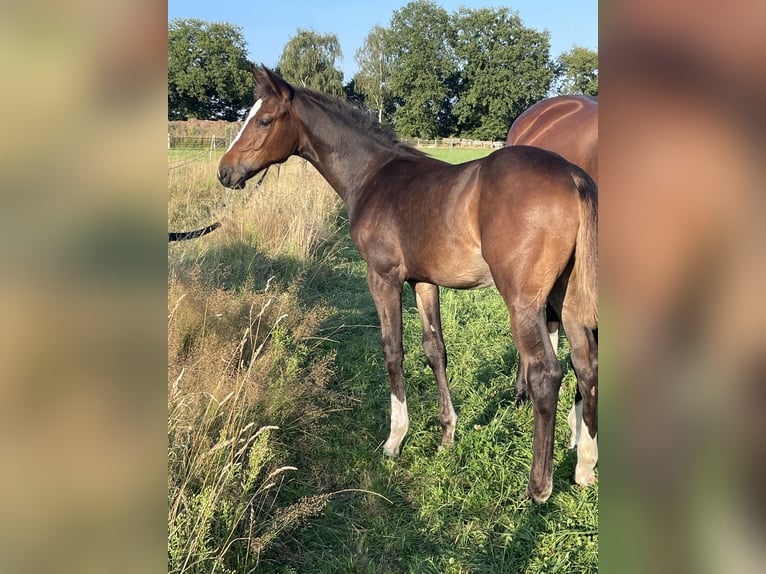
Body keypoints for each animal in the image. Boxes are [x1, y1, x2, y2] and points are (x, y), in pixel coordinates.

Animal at [218, 67, 600, 504]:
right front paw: (447, 434)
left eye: (264, 121)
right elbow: (435, 350)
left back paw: (538, 486)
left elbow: (393, 350)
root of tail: (573, 175)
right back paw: (585, 466)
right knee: (586, 365)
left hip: (523, 300)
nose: (225, 171)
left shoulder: (383, 276)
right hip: (568, 297)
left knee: (546, 373)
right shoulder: (423, 281)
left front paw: (394, 439)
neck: (372, 175)